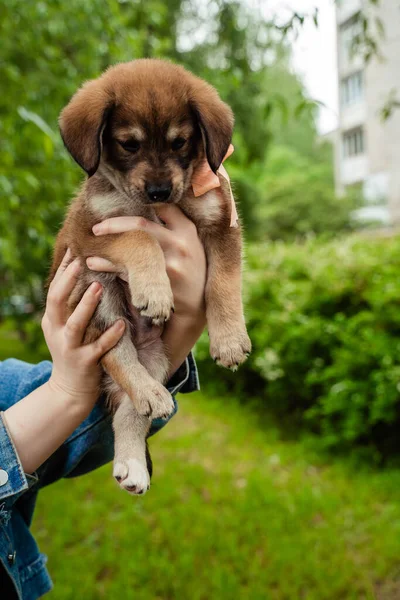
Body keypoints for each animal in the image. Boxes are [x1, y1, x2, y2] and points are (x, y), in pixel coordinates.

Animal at [50, 58, 250, 494]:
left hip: (157, 355)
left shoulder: (221, 224)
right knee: (118, 357)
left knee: (130, 409)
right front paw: (156, 292)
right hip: (97, 295)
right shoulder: (91, 232)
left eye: (180, 142)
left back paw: (134, 459)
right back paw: (149, 397)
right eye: (129, 144)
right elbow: (141, 235)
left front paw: (229, 340)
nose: (159, 191)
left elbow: (223, 284)